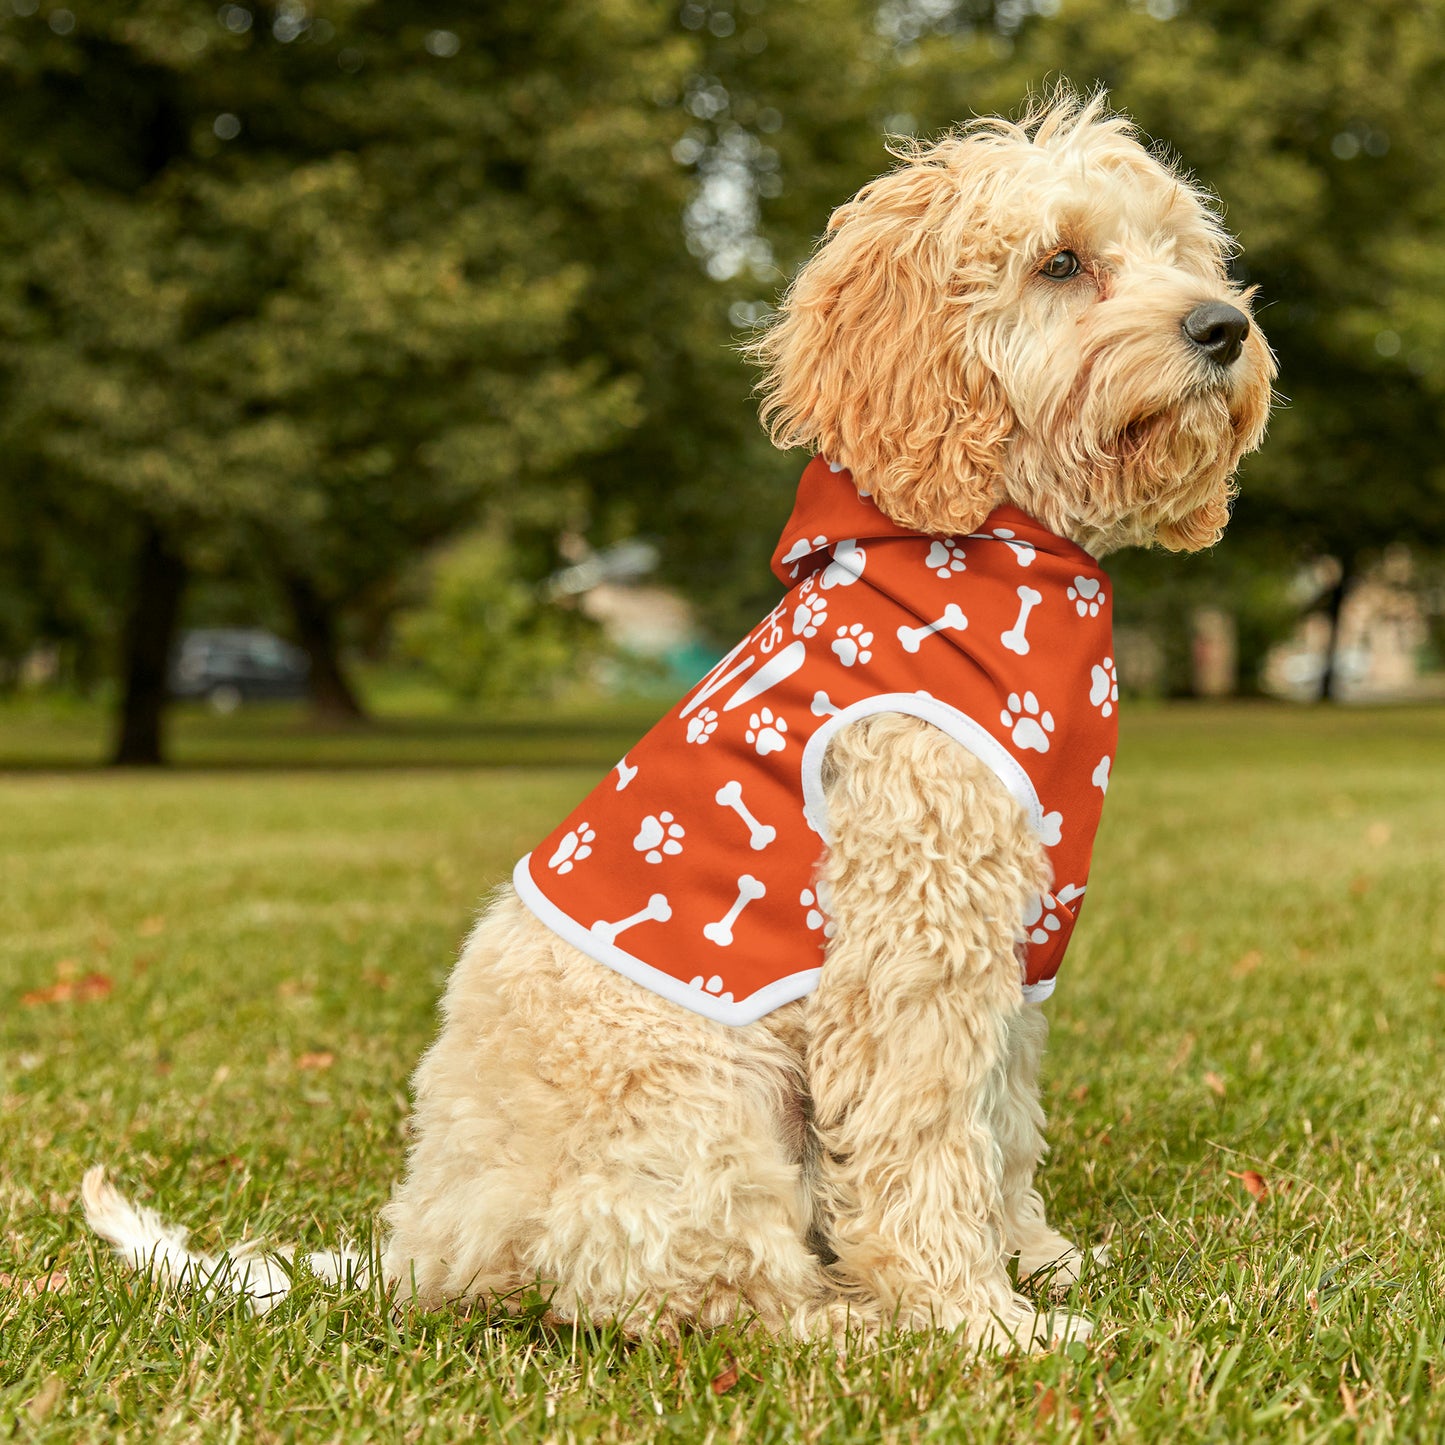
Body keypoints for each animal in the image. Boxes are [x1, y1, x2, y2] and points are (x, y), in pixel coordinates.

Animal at [84, 93, 1271, 1352]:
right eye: (1060, 262)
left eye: (1181, 252)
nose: (1222, 327)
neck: (998, 551)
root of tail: (424, 1245)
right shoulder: (913, 939)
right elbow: (923, 1140)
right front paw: (977, 1318)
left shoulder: (1013, 942)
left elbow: (998, 1123)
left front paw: (1034, 1259)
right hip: (703, 1099)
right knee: (699, 1290)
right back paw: (852, 1323)